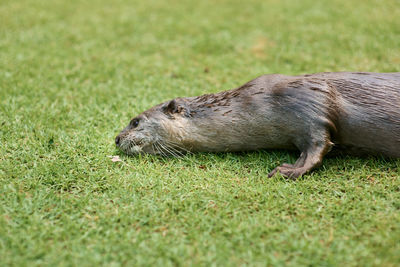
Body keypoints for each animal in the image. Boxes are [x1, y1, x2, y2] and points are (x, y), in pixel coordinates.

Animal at [115, 72, 400, 179]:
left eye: (135, 121)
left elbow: (318, 145)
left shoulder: (311, 103)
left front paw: (289, 170)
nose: (117, 139)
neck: (253, 103)